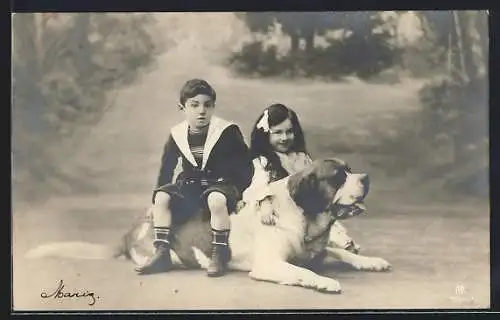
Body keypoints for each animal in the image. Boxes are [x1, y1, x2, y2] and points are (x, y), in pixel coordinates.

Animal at [24, 158, 390, 292]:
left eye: (350, 169)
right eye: (338, 176)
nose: (367, 178)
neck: (303, 217)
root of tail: (128, 232)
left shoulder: (318, 248)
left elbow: (341, 254)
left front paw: (370, 260)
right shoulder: (270, 264)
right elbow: (301, 271)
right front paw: (323, 282)